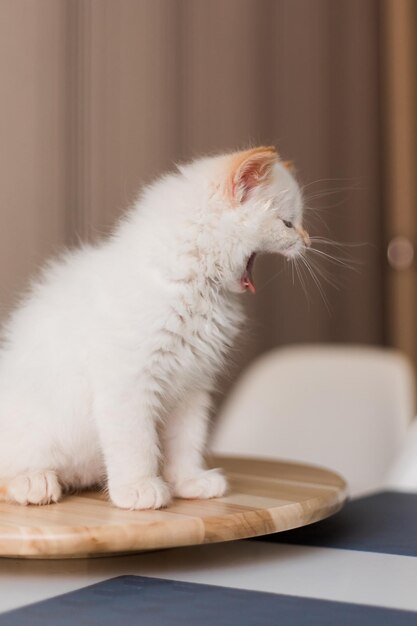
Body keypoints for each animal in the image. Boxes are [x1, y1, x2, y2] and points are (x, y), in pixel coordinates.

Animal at [0, 146, 308, 508]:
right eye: (288, 223)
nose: (307, 240)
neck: (195, 288)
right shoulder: (129, 383)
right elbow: (137, 444)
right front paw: (139, 489)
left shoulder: (192, 387)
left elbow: (186, 443)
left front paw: (190, 482)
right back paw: (34, 482)